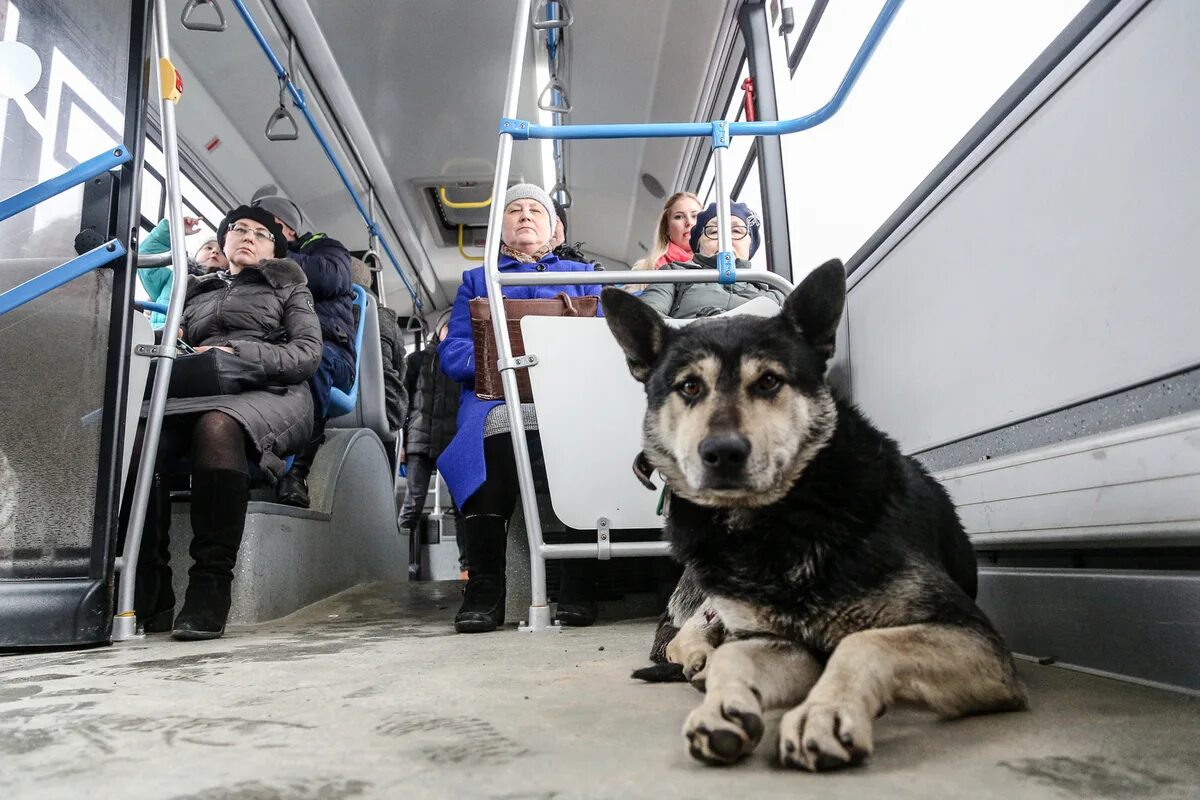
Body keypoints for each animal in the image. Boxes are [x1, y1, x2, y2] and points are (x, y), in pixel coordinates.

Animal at [604, 263, 1027, 777]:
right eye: (689, 386)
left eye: (769, 381)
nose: (722, 453)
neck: (774, 524)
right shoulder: (777, 641)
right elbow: (735, 658)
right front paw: (723, 705)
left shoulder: (975, 640)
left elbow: (865, 643)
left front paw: (823, 713)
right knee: (686, 638)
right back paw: (700, 660)